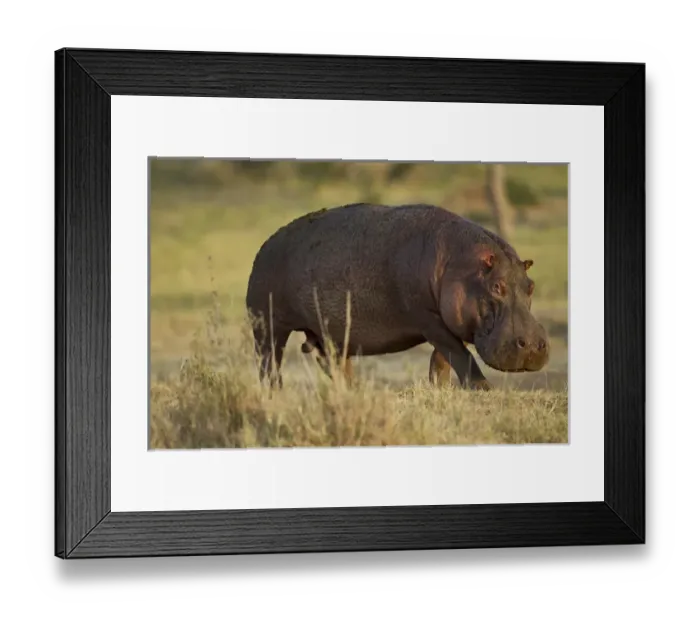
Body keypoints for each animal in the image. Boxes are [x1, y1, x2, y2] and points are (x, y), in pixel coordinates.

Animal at [245, 203, 549, 389]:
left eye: (531, 285)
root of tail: (265, 245)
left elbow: (443, 360)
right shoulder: (429, 320)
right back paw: (276, 394)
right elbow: (461, 357)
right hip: (267, 328)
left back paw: (352, 392)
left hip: (324, 336)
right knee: (269, 366)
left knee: (336, 367)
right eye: (496, 286)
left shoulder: (450, 322)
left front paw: (439, 389)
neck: (459, 261)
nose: (533, 346)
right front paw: (484, 389)